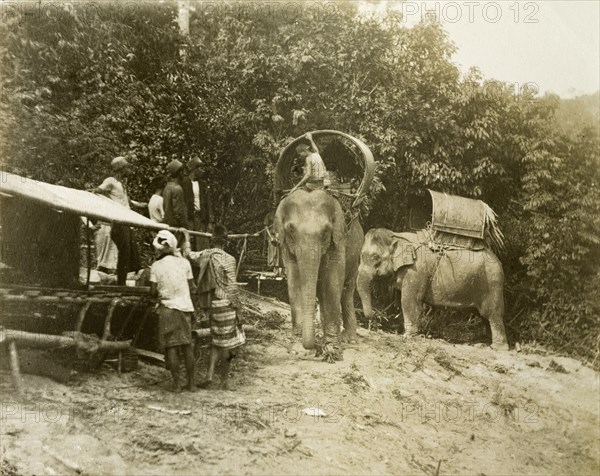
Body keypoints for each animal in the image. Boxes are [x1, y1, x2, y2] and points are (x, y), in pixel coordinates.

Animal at [358, 229, 508, 352]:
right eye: (361, 255)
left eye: (375, 257)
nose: (373, 319)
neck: (396, 235)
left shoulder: (416, 271)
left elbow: (408, 301)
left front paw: (408, 336)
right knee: (483, 316)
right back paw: (483, 343)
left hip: (492, 282)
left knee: (492, 314)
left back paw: (497, 348)